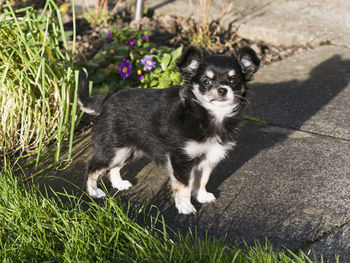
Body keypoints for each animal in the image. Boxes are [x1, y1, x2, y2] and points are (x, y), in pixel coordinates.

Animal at [79, 46, 260, 214]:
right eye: (206, 82)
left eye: (233, 80)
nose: (222, 90)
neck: (208, 115)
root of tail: (107, 99)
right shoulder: (181, 160)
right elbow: (185, 186)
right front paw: (185, 207)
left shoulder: (209, 157)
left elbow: (202, 180)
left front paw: (201, 196)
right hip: (113, 149)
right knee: (92, 167)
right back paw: (94, 192)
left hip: (126, 150)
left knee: (113, 168)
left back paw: (119, 184)